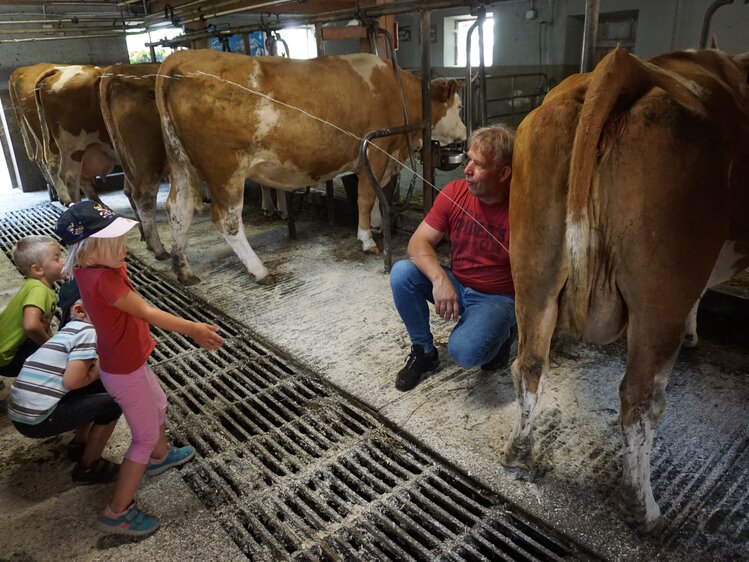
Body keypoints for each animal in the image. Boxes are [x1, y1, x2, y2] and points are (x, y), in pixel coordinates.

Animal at [98, 62, 169, 260]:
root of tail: (117, 70)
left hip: (127, 159)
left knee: (129, 192)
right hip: (148, 157)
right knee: (144, 197)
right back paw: (159, 250)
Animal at [155, 49, 464, 284]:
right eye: (460, 107)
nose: (464, 132)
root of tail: (184, 56)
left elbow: (376, 198)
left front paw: (376, 225)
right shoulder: (375, 153)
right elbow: (365, 198)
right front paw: (367, 239)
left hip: (182, 165)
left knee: (178, 209)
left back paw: (183, 270)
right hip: (225, 170)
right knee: (227, 220)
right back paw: (260, 270)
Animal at [506, 46, 744, 532]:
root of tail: (619, 65)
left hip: (534, 267)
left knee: (529, 365)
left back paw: (519, 454)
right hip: (661, 293)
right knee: (640, 401)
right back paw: (643, 508)